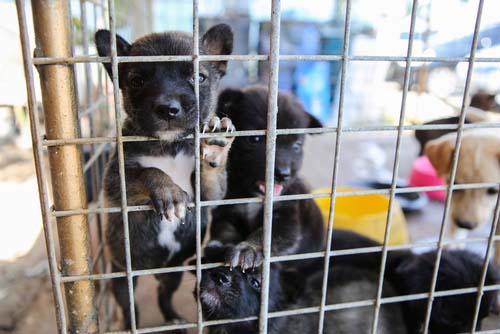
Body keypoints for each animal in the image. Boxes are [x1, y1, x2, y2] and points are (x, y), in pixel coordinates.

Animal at [95, 26, 234, 328]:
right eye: (136, 81)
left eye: (198, 77)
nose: (168, 108)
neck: (169, 146)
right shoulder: (115, 182)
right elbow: (148, 171)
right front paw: (167, 191)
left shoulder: (209, 194)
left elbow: (211, 180)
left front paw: (215, 146)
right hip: (122, 278)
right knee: (129, 307)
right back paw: (130, 326)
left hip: (173, 274)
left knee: (163, 295)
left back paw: (173, 318)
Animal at [206, 84, 324, 272]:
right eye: (254, 139)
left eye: (296, 146)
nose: (283, 174)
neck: (251, 196)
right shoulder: (226, 212)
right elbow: (225, 230)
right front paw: (219, 246)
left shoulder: (286, 216)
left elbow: (267, 235)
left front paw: (248, 249)